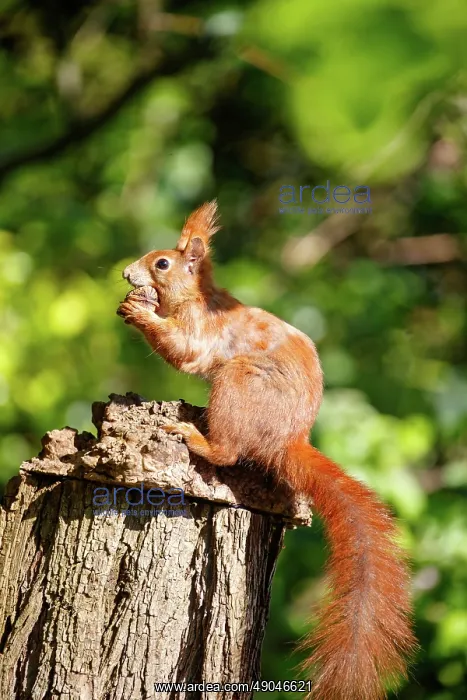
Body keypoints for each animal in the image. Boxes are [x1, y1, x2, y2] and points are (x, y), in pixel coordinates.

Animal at [117, 201, 416, 700]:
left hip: (237, 382)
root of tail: (287, 440)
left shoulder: (200, 332)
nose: (125, 274)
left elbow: (182, 349)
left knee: (227, 452)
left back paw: (193, 435)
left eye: (161, 264)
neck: (196, 298)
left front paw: (141, 313)